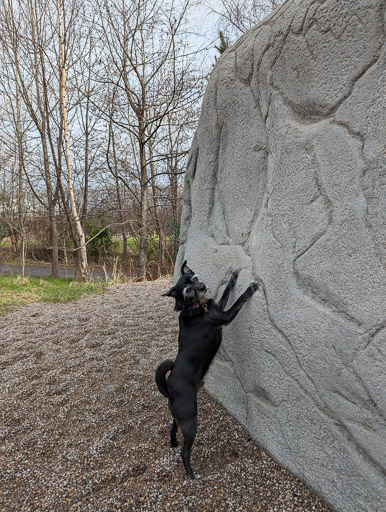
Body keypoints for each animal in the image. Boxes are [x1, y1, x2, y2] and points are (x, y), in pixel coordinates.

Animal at [155, 260, 260, 480]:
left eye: (194, 279)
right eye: (187, 291)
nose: (202, 287)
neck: (196, 306)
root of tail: (169, 388)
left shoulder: (219, 306)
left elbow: (227, 291)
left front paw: (233, 277)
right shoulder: (226, 316)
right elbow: (239, 300)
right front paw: (249, 288)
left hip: (179, 417)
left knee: (172, 428)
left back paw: (173, 443)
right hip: (190, 420)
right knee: (185, 452)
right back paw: (190, 474)